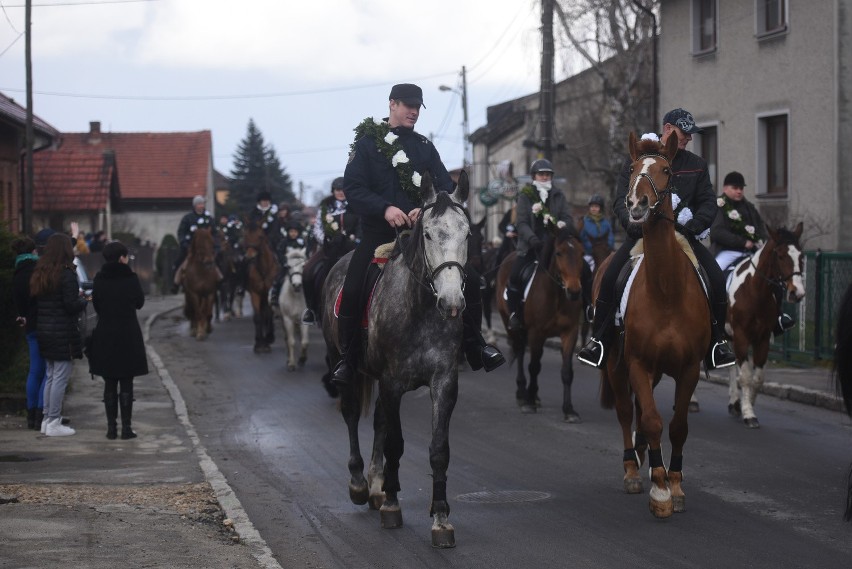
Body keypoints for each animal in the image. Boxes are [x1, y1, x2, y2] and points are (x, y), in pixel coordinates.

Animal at [241, 221, 278, 350]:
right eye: (245, 235)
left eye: (260, 236)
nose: (250, 256)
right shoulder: (255, 293)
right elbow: (258, 317)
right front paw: (259, 344)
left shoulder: (268, 292)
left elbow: (268, 314)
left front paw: (268, 339)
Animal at [322, 170, 472, 544]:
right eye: (429, 233)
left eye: (467, 234)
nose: (452, 301)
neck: (420, 308)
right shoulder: (392, 382)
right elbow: (395, 442)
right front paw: (392, 504)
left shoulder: (444, 382)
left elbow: (438, 449)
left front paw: (441, 517)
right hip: (340, 362)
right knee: (351, 414)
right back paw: (360, 484)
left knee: (378, 420)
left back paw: (377, 485)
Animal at [496, 226, 588, 422]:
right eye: (559, 253)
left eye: (582, 253)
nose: (574, 291)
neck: (557, 295)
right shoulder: (536, 333)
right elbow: (534, 367)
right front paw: (529, 402)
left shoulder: (570, 332)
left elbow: (567, 371)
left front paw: (569, 410)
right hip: (510, 324)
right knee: (521, 352)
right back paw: (522, 393)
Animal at [600, 133, 712, 520]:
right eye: (633, 168)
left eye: (666, 170)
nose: (637, 203)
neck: (666, 291)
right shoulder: (637, 363)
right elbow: (650, 420)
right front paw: (660, 491)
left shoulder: (688, 367)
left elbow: (677, 426)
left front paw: (674, 485)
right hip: (616, 364)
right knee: (625, 411)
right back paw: (634, 469)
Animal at [724, 222, 804, 426]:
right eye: (781, 256)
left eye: (801, 256)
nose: (797, 293)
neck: (755, 291)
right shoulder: (742, 335)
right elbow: (745, 376)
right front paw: (748, 413)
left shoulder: (763, 338)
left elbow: (758, 378)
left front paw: (745, 405)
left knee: (731, 366)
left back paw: (733, 402)